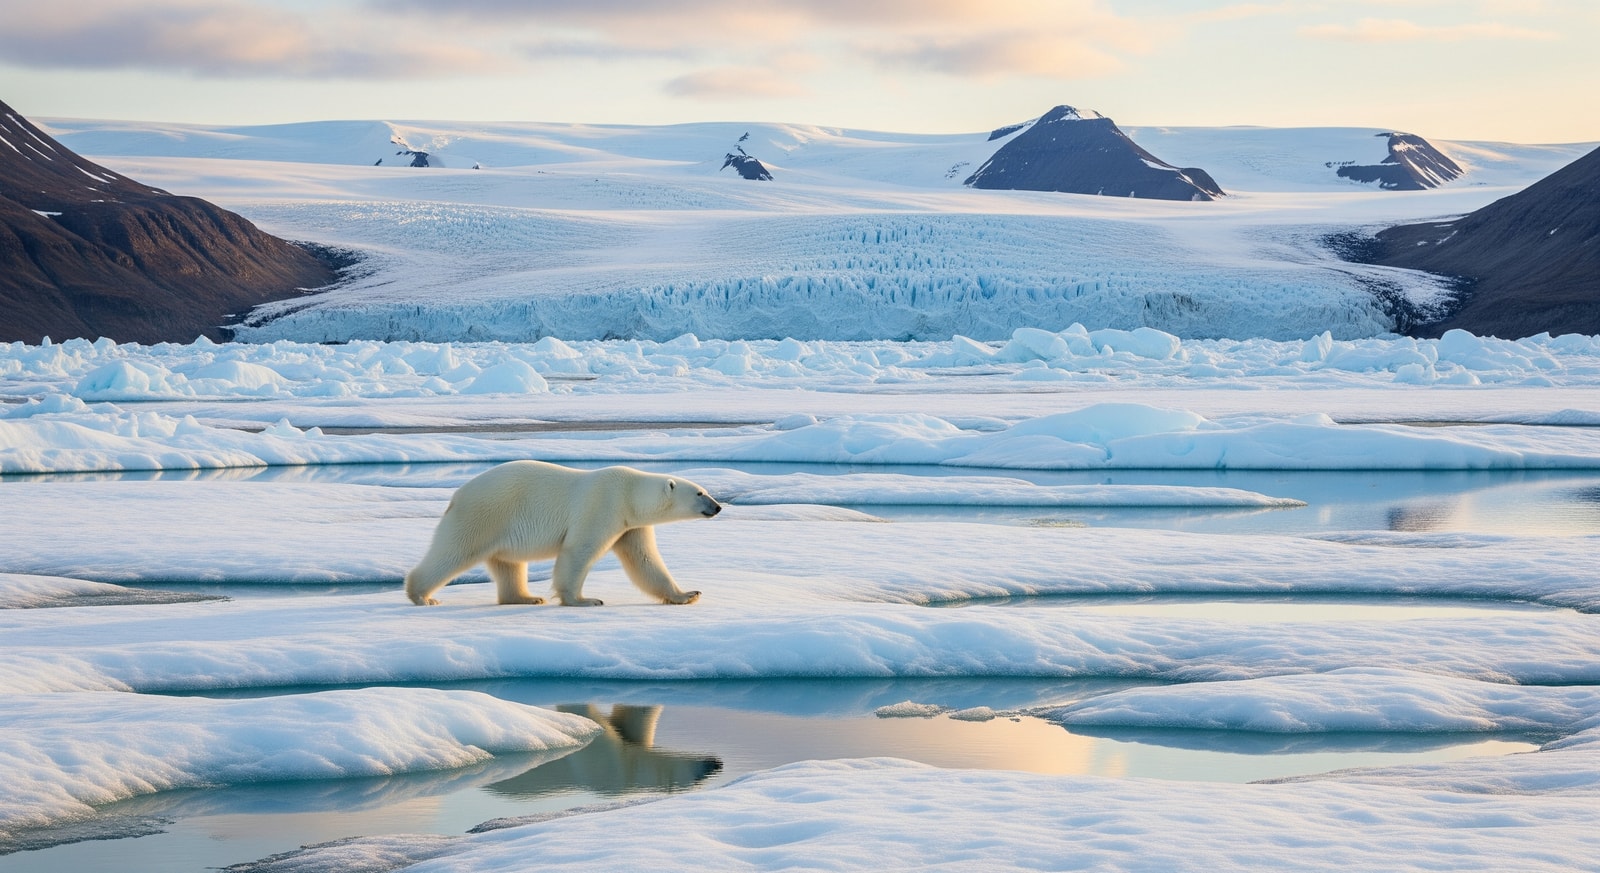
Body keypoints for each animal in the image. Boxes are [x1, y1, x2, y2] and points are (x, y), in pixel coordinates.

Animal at [404, 461, 721, 607]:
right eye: (700, 493)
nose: (718, 507)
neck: (629, 492)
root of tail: (456, 495)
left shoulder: (631, 525)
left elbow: (645, 562)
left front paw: (688, 594)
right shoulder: (602, 505)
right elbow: (578, 551)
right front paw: (585, 600)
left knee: (508, 565)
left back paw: (527, 597)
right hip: (484, 514)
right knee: (453, 551)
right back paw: (422, 596)